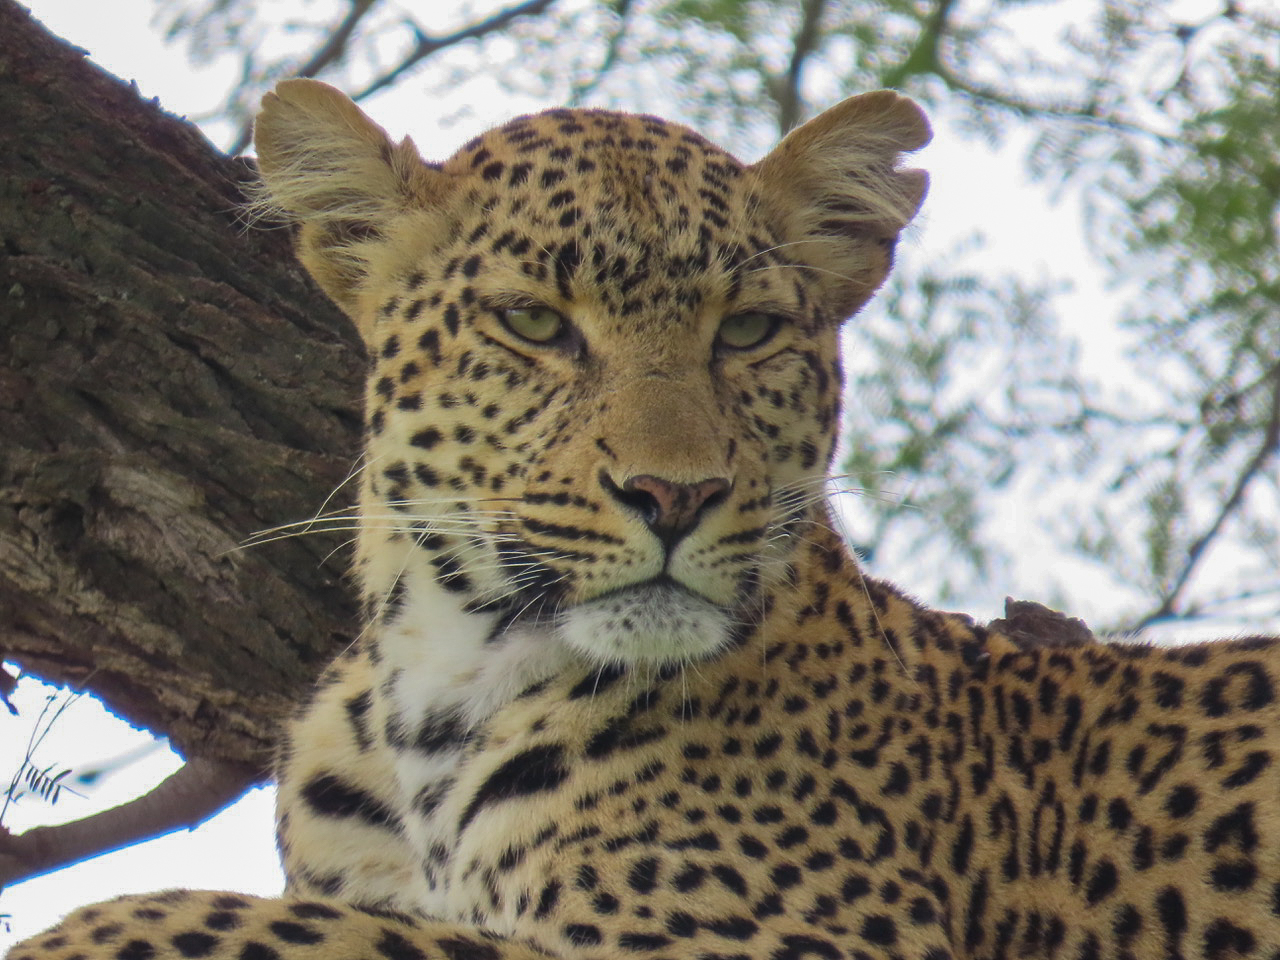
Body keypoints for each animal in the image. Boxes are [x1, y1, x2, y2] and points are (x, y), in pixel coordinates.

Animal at [10, 78, 1280, 960]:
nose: (675, 495)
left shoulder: (776, 938)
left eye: (746, 331)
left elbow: (305, 931)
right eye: (532, 322)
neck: (436, 689)